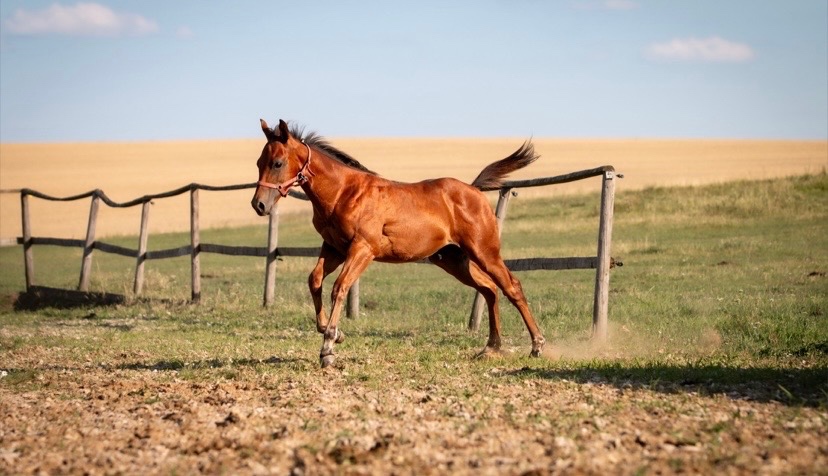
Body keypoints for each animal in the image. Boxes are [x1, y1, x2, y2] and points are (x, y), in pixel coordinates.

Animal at [251, 119, 546, 367]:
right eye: (258, 162)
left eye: (277, 163)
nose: (259, 205)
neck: (343, 193)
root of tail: (473, 189)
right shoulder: (334, 248)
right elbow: (314, 280)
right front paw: (334, 333)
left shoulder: (363, 249)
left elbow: (340, 287)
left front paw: (328, 349)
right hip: (453, 260)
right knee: (489, 290)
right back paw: (491, 347)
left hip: (484, 251)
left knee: (511, 287)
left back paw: (537, 345)